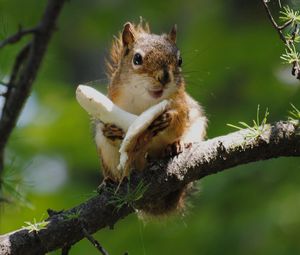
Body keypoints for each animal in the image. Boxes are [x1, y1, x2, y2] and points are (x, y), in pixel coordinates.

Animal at [95, 20, 207, 215]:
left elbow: (180, 117)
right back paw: (109, 181)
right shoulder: (113, 103)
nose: (165, 77)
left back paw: (175, 146)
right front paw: (111, 130)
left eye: (180, 60)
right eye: (137, 59)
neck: (146, 101)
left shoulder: (181, 102)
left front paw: (169, 118)